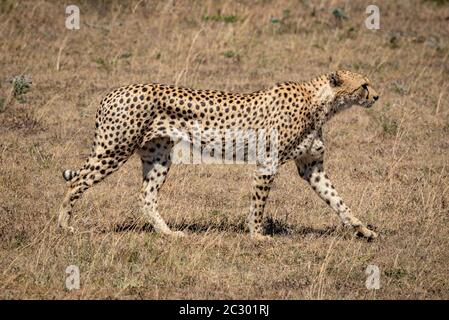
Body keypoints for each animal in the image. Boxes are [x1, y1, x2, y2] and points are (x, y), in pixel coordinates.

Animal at [58, 70, 378, 240]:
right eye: (363, 85)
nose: (376, 96)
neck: (322, 103)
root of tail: (112, 92)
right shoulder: (267, 164)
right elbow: (258, 204)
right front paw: (257, 235)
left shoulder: (312, 168)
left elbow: (338, 200)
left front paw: (362, 229)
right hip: (114, 149)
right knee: (75, 183)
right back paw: (64, 225)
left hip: (158, 157)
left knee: (146, 197)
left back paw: (168, 234)